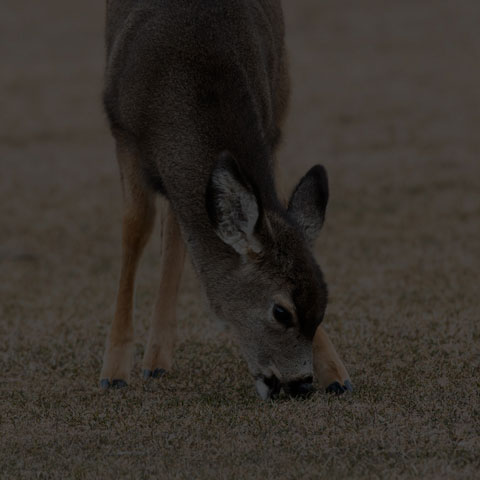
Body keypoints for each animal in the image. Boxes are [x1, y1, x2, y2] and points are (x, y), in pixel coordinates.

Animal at [99, 0, 352, 400]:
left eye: (323, 305)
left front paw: (335, 371)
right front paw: (114, 368)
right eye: (281, 312)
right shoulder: (123, 133)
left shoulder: (269, 124)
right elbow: (136, 227)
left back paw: (157, 357)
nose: (299, 385)